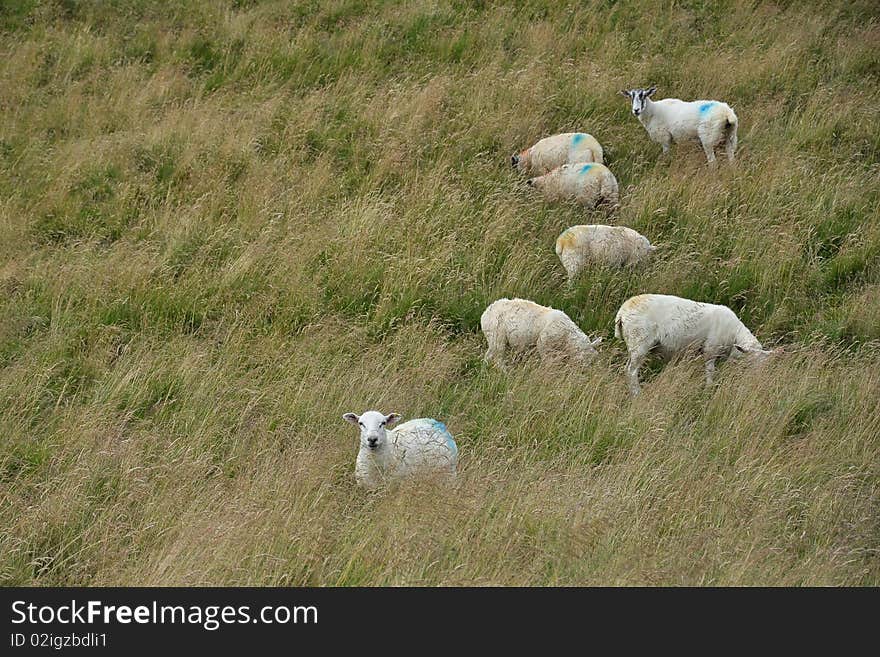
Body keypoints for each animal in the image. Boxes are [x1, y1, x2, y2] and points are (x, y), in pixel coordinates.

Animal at [612, 294, 776, 394]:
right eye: (749, 363)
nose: (756, 382)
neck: (734, 334)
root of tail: (622, 313)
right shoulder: (710, 350)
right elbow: (710, 371)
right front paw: (709, 388)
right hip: (639, 342)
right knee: (631, 371)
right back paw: (636, 393)